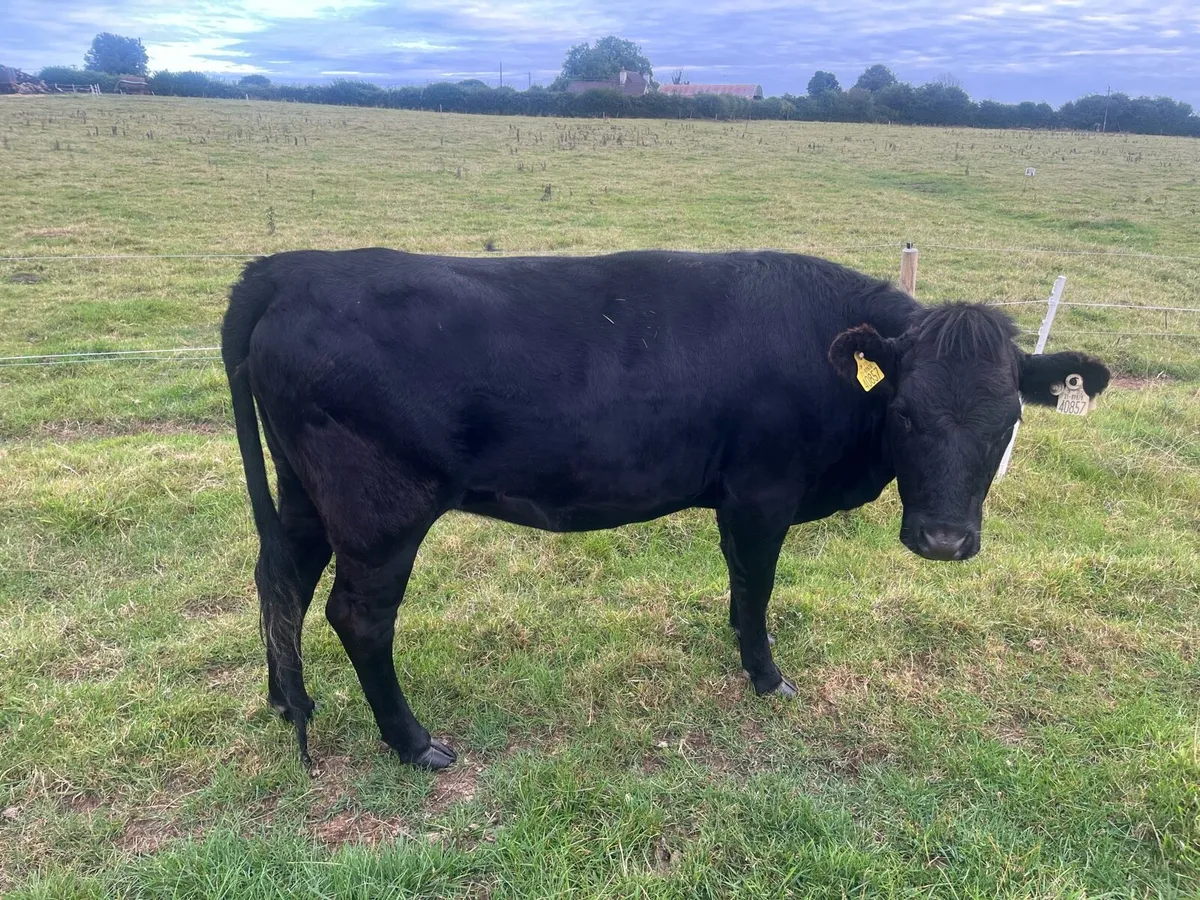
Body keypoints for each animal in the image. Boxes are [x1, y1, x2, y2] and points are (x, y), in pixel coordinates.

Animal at [221, 248, 1110, 771]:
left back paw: (284, 701)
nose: (944, 540)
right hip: (380, 510)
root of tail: (297, 267)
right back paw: (414, 745)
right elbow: (758, 585)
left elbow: (738, 583)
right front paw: (766, 677)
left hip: (303, 493)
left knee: (280, 580)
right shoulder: (762, 491)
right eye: (906, 413)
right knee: (356, 615)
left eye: (1008, 419)